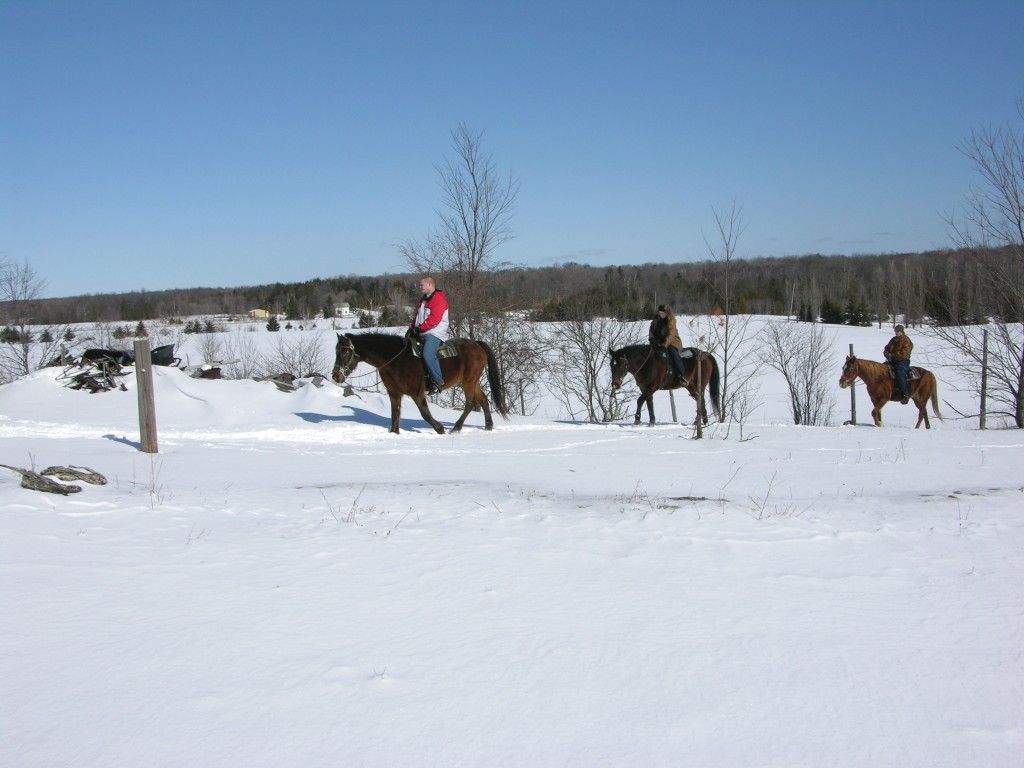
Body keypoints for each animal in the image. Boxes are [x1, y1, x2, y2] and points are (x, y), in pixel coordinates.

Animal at [332, 333, 509, 434]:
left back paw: (456, 428)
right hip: (473, 381)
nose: (335, 375)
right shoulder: (394, 393)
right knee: (484, 400)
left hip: (468, 382)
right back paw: (488, 426)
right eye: (336, 351)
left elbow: (424, 413)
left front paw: (440, 429)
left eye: (345, 351)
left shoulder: (416, 392)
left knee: (470, 403)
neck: (396, 359)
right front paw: (394, 433)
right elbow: (395, 415)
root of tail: (477, 344)